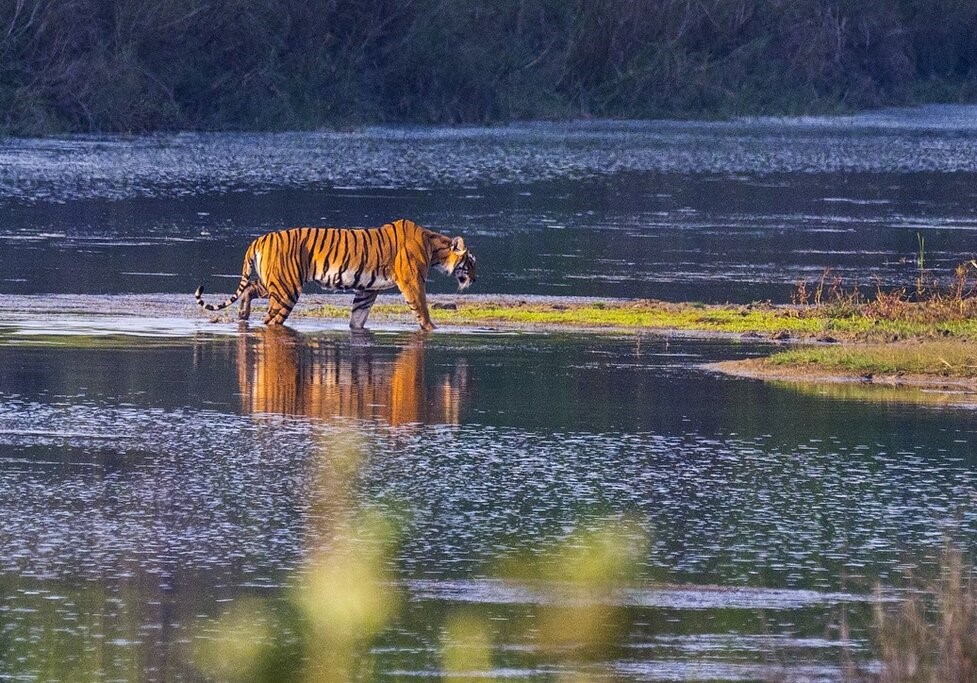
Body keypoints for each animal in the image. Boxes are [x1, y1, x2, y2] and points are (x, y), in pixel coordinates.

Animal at [194, 218, 476, 330]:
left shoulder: (368, 288)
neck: (434, 246)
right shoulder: (412, 281)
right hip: (286, 290)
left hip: (275, 282)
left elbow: (359, 315)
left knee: (250, 289)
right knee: (270, 320)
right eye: (470, 262)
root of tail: (260, 238)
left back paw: (243, 315)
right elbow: (422, 307)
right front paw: (433, 329)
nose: (475, 278)